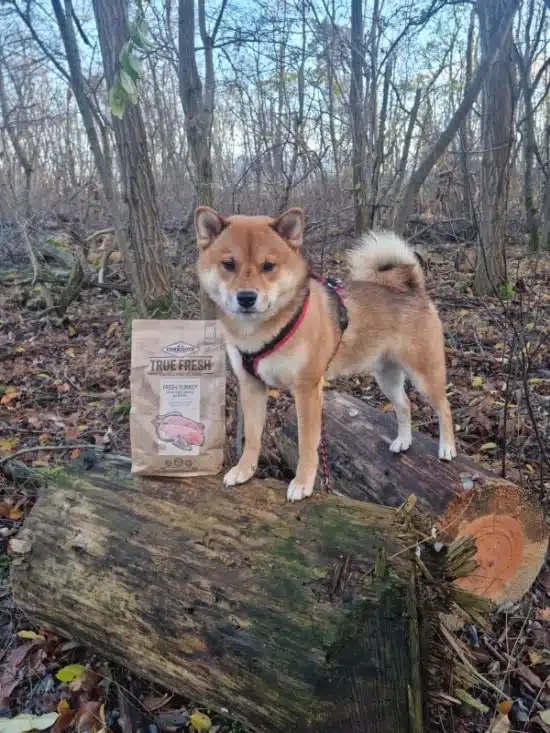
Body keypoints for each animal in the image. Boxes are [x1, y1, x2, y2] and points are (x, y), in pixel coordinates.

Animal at [195, 207, 458, 504]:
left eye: (269, 266)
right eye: (228, 264)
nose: (247, 297)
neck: (259, 331)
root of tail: (412, 288)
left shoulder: (307, 391)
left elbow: (307, 443)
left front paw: (303, 482)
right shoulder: (251, 386)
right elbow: (252, 437)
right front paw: (244, 470)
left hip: (425, 374)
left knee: (444, 408)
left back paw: (447, 447)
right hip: (386, 376)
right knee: (404, 405)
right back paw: (403, 441)